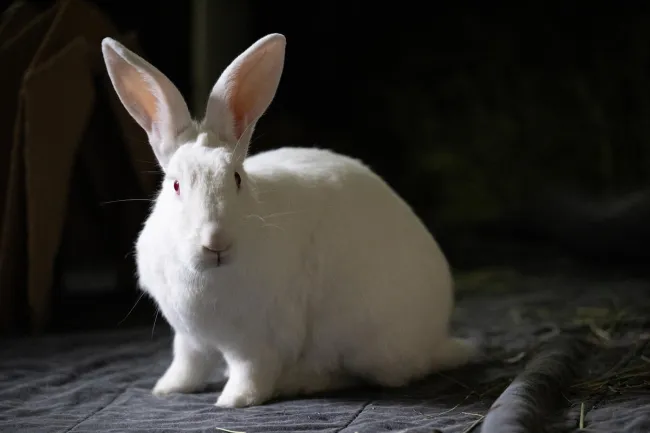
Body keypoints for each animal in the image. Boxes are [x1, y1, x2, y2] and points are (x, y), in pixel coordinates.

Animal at [101, 33, 475, 408]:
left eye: (237, 178)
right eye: (175, 185)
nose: (216, 242)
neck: (211, 274)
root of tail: (438, 339)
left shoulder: (257, 341)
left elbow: (251, 372)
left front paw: (233, 401)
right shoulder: (189, 337)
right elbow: (187, 363)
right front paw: (167, 388)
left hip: (370, 342)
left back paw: (298, 382)